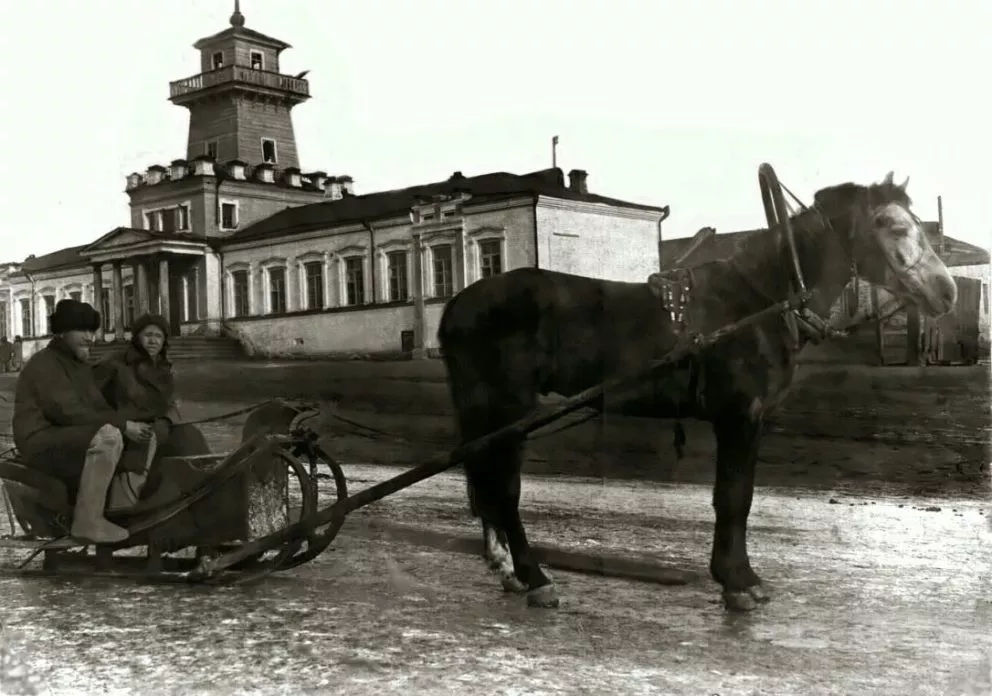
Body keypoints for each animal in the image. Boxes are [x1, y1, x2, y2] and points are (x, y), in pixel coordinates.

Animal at [438, 173, 956, 608]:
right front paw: (737, 582)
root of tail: (456, 304)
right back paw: (535, 577)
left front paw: (738, 577)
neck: (758, 303)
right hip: (506, 408)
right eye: (891, 225)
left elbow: (737, 495)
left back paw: (507, 568)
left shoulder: (749, 419)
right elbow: (733, 498)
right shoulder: (740, 416)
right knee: (504, 489)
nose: (947, 292)